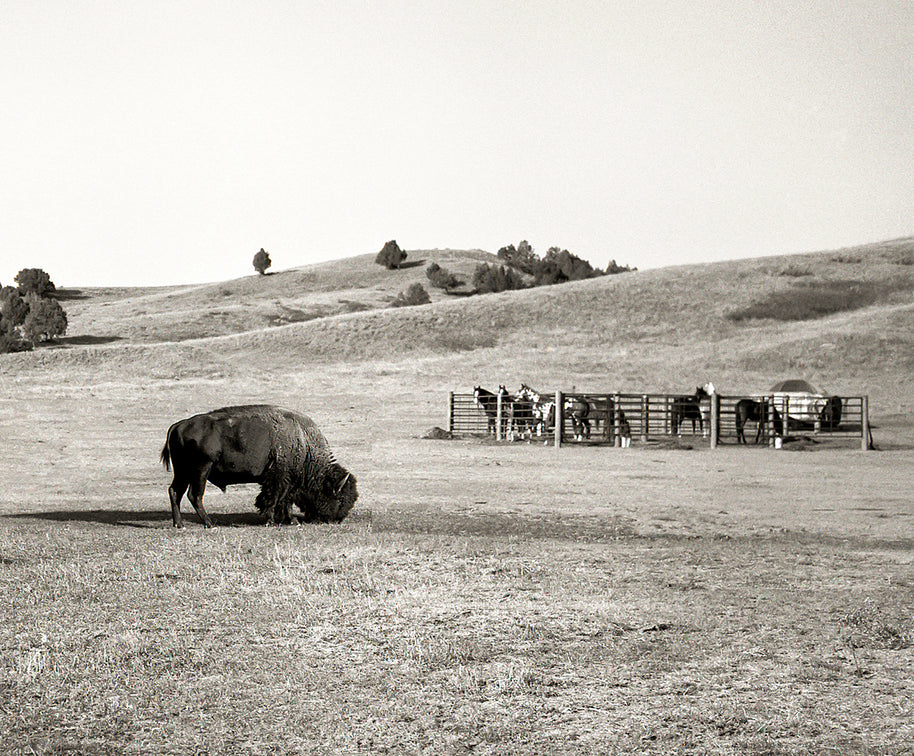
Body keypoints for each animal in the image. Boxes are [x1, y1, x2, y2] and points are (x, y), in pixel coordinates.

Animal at [160, 405, 358, 528]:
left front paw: (289, 520)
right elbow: (273, 498)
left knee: (175, 491)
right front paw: (273, 520)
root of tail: (179, 425)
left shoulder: (286, 481)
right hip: (201, 470)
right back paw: (209, 524)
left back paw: (179, 524)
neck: (303, 442)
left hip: (183, 472)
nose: (337, 520)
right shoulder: (279, 478)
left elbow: (283, 499)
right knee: (194, 495)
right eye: (340, 499)